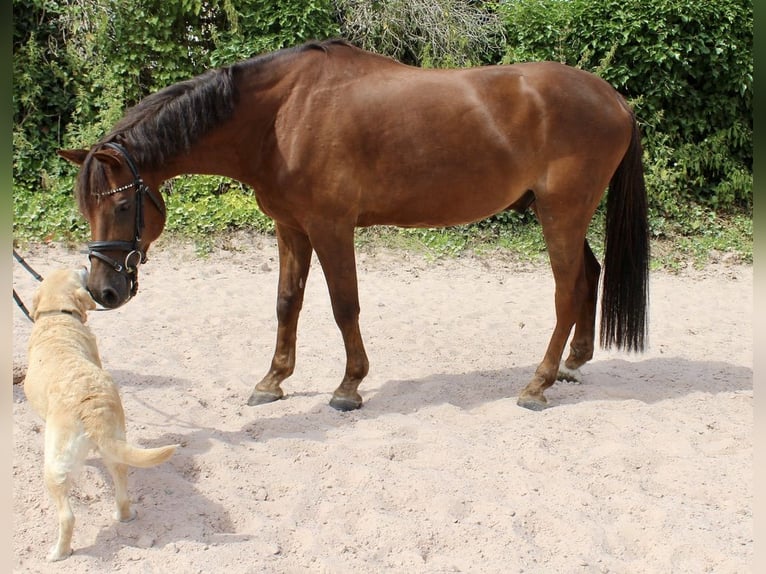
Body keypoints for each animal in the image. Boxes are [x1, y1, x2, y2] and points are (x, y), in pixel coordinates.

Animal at [22, 270, 180, 564]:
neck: (57, 314)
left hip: (54, 470)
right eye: (77, 273)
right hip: (115, 447)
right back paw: (125, 516)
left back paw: (58, 553)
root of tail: (91, 407)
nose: (85, 267)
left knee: (68, 517)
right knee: (122, 486)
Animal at [58, 38, 648, 412]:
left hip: (561, 214)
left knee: (567, 290)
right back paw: (572, 364)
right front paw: (273, 380)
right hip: (563, 215)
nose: (103, 291)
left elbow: (345, 306)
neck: (283, 117)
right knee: (589, 276)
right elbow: (287, 303)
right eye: (88, 209)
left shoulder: (330, 227)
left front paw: (349, 386)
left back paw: (537, 384)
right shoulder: (292, 229)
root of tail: (615, 98)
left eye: (123, 206)